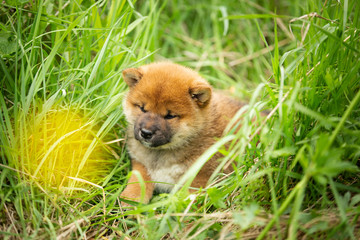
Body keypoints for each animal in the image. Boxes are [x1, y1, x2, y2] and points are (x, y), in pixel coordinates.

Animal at [120, 62, 242, 204]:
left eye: (170, 116)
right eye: (142, 108)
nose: (146, 133)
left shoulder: (201, 176)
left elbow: (186, 199)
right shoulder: (141, 163)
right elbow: (138, 182)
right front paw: (130, 199)